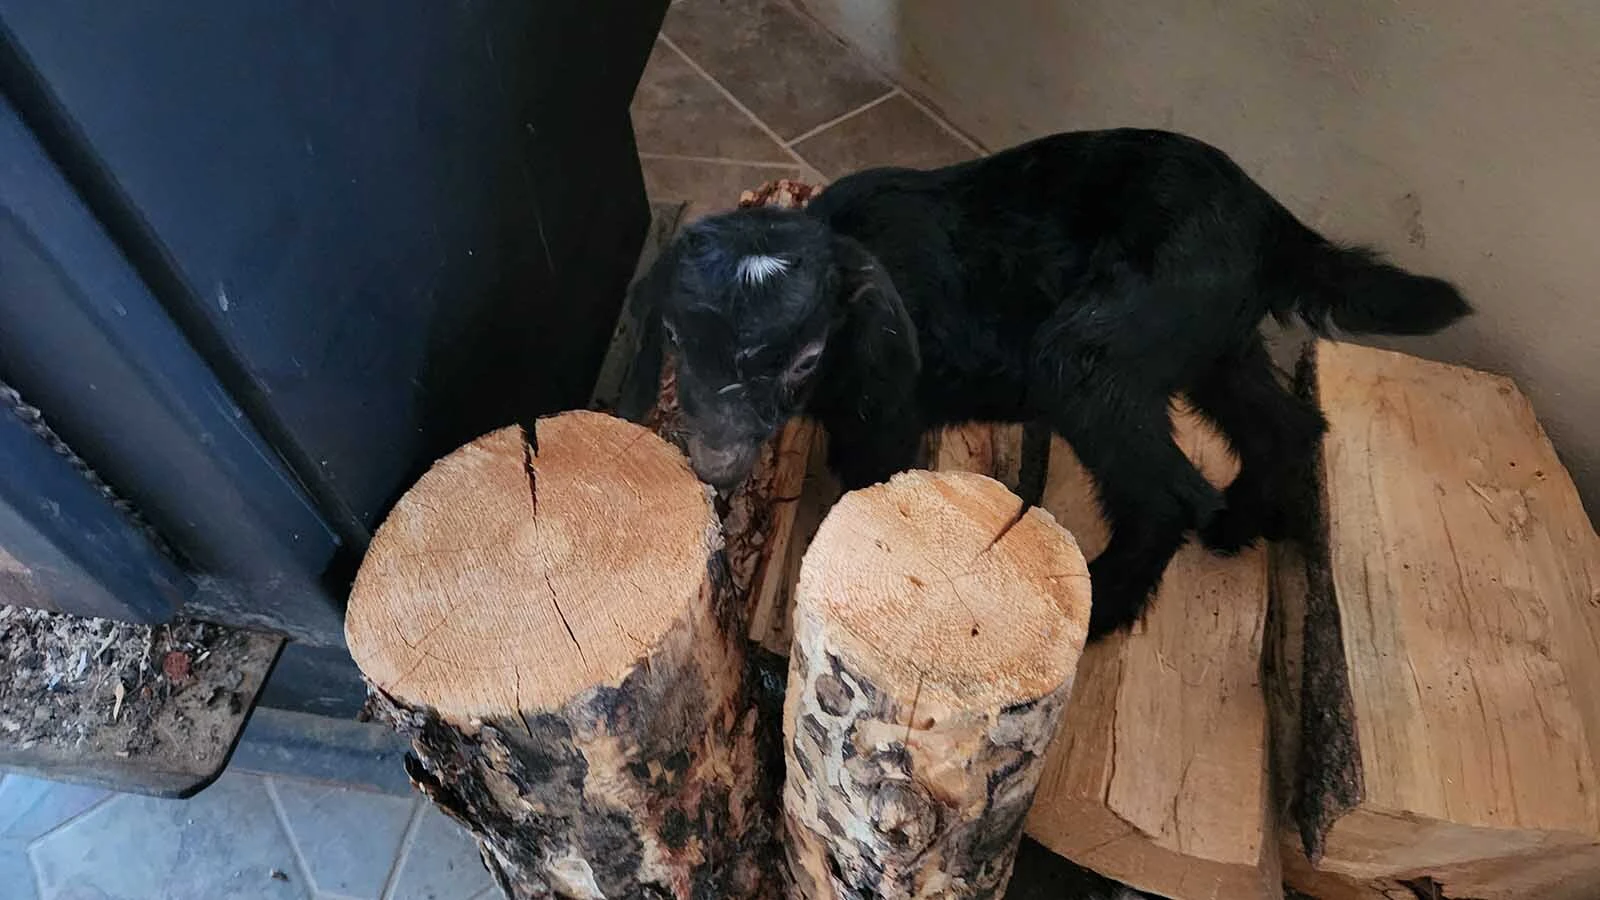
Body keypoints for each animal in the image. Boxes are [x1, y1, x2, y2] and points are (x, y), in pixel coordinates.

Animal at [621, 128, 1470, 638]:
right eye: (673, 337)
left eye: (803, 359)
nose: (715, 463)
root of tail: (1275, 224)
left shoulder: (888, 418)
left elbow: (869, 491)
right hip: (1211, 345)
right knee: (1287, 427)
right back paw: (1239, 526)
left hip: (1090, 359)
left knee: (1170, 493)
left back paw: (1105, 607)